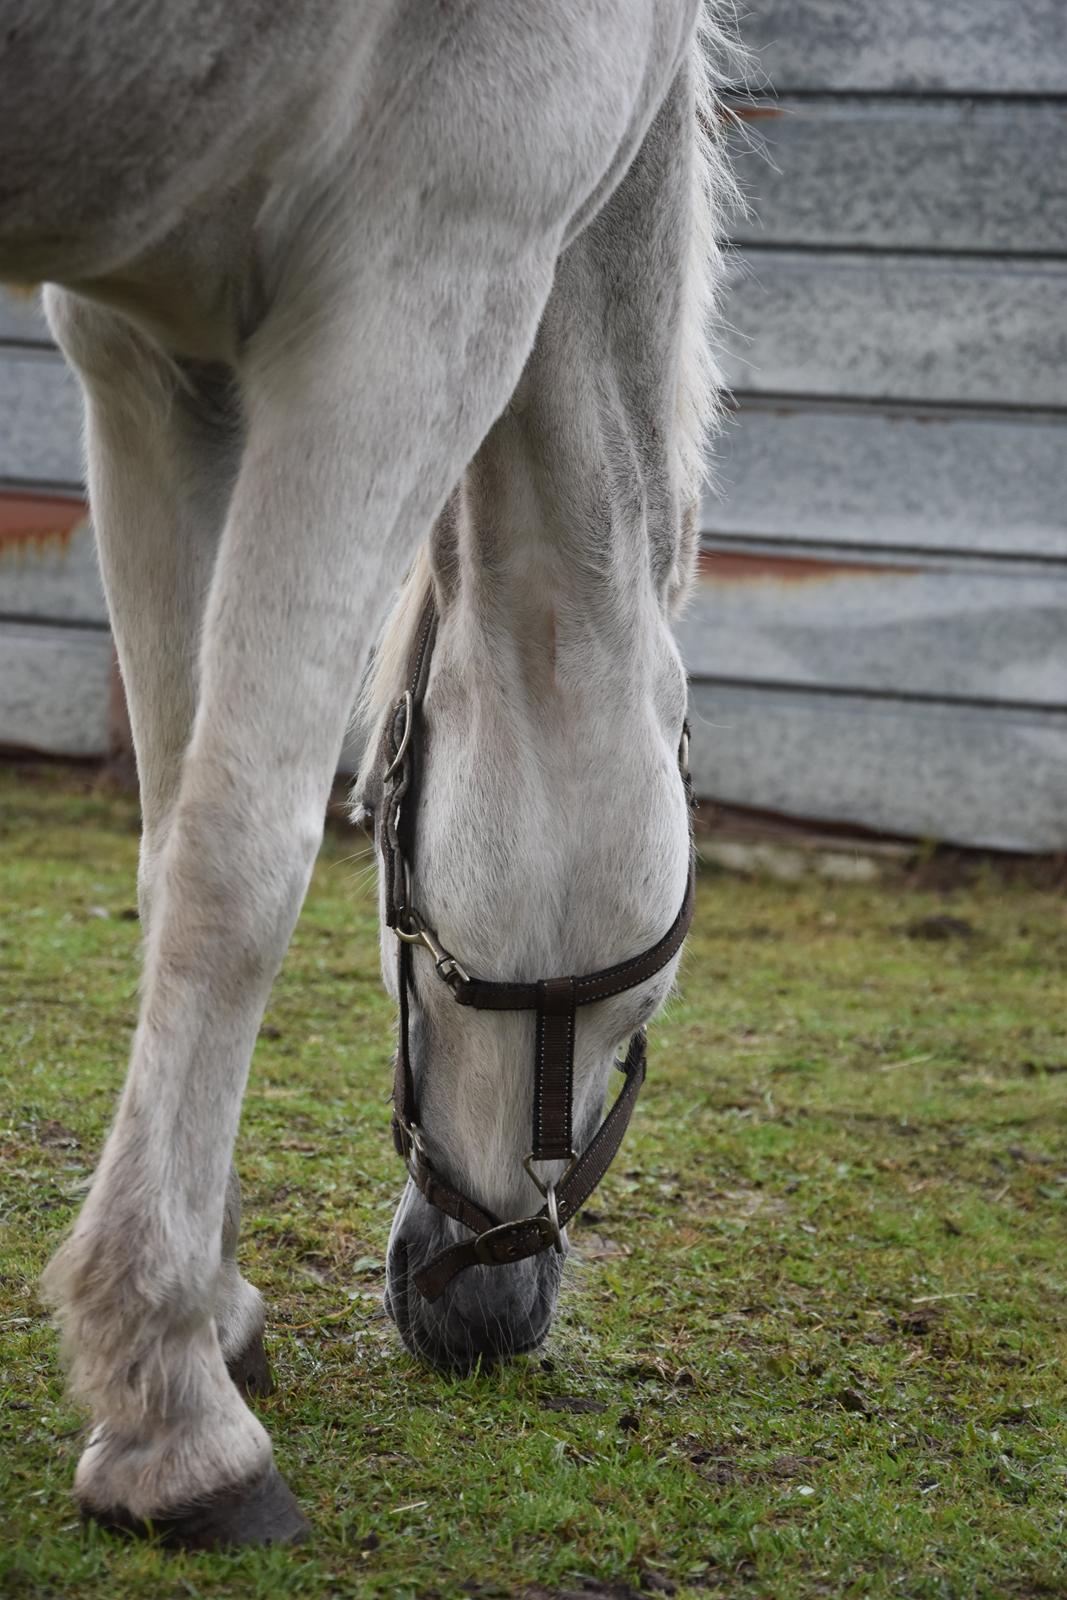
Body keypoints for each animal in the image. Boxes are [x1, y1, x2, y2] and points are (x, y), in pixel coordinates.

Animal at [0, 0, 735, 1548]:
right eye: (644, 1000)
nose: (489, 1316)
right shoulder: (420, 292)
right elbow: (235, 864)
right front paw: (174, 1413)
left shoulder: (148, 356)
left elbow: (168, 839)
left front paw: (214, 1309)